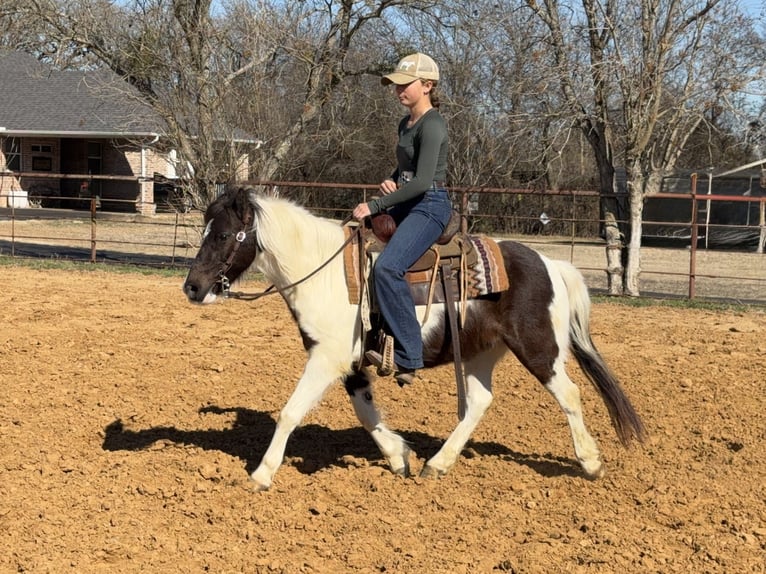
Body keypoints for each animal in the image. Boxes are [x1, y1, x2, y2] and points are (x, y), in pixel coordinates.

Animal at [182, 186, 646, 491]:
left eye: (222, 235)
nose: (192, 287)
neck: (325, 271)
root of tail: (551, 265)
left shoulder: (326, 358)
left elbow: (290, 412)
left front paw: (261, 474)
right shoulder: (349, 361)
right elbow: (366, 412)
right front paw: (399, 457)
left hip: (538, 348)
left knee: (569, 394)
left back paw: (591, 462)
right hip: (480, 352)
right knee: (479, 402)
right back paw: (437, 465)